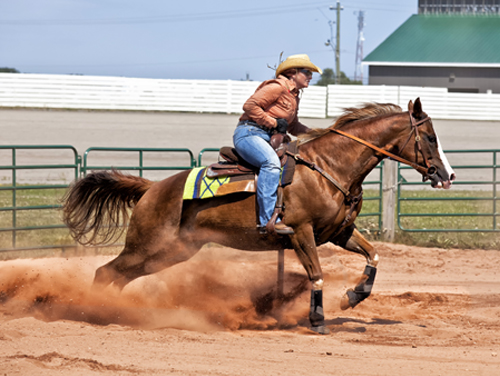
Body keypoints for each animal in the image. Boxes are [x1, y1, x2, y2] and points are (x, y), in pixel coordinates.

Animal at [61, 98, 454, 334]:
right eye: (430, 137)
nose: (447, 175)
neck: (329, 168)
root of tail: (152, 188)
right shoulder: (301, 232)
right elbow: (316, 273)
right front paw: (317, 319)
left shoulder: (338, 232)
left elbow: (373, 255)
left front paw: (352, 297)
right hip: (149, 245)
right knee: (105, 272)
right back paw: (93, 311)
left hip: (170, 252)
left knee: (118, 276)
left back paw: (114, 312)